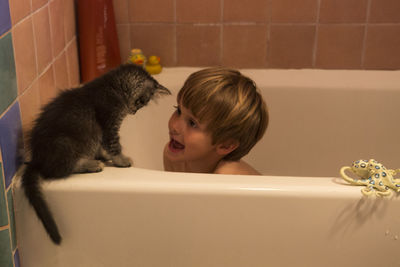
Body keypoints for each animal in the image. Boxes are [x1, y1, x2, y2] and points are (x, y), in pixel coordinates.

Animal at [21, 63, 170, 246]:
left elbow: (102, 147)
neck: (112, 87)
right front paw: (121, 160)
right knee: (60, 170)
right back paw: (91, 164)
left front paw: (105, 156)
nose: (134, 111)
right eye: (142, 102)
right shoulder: (108, 125)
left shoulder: (101, 133)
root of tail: (37, 159)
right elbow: (114, 146)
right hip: (66, 144)